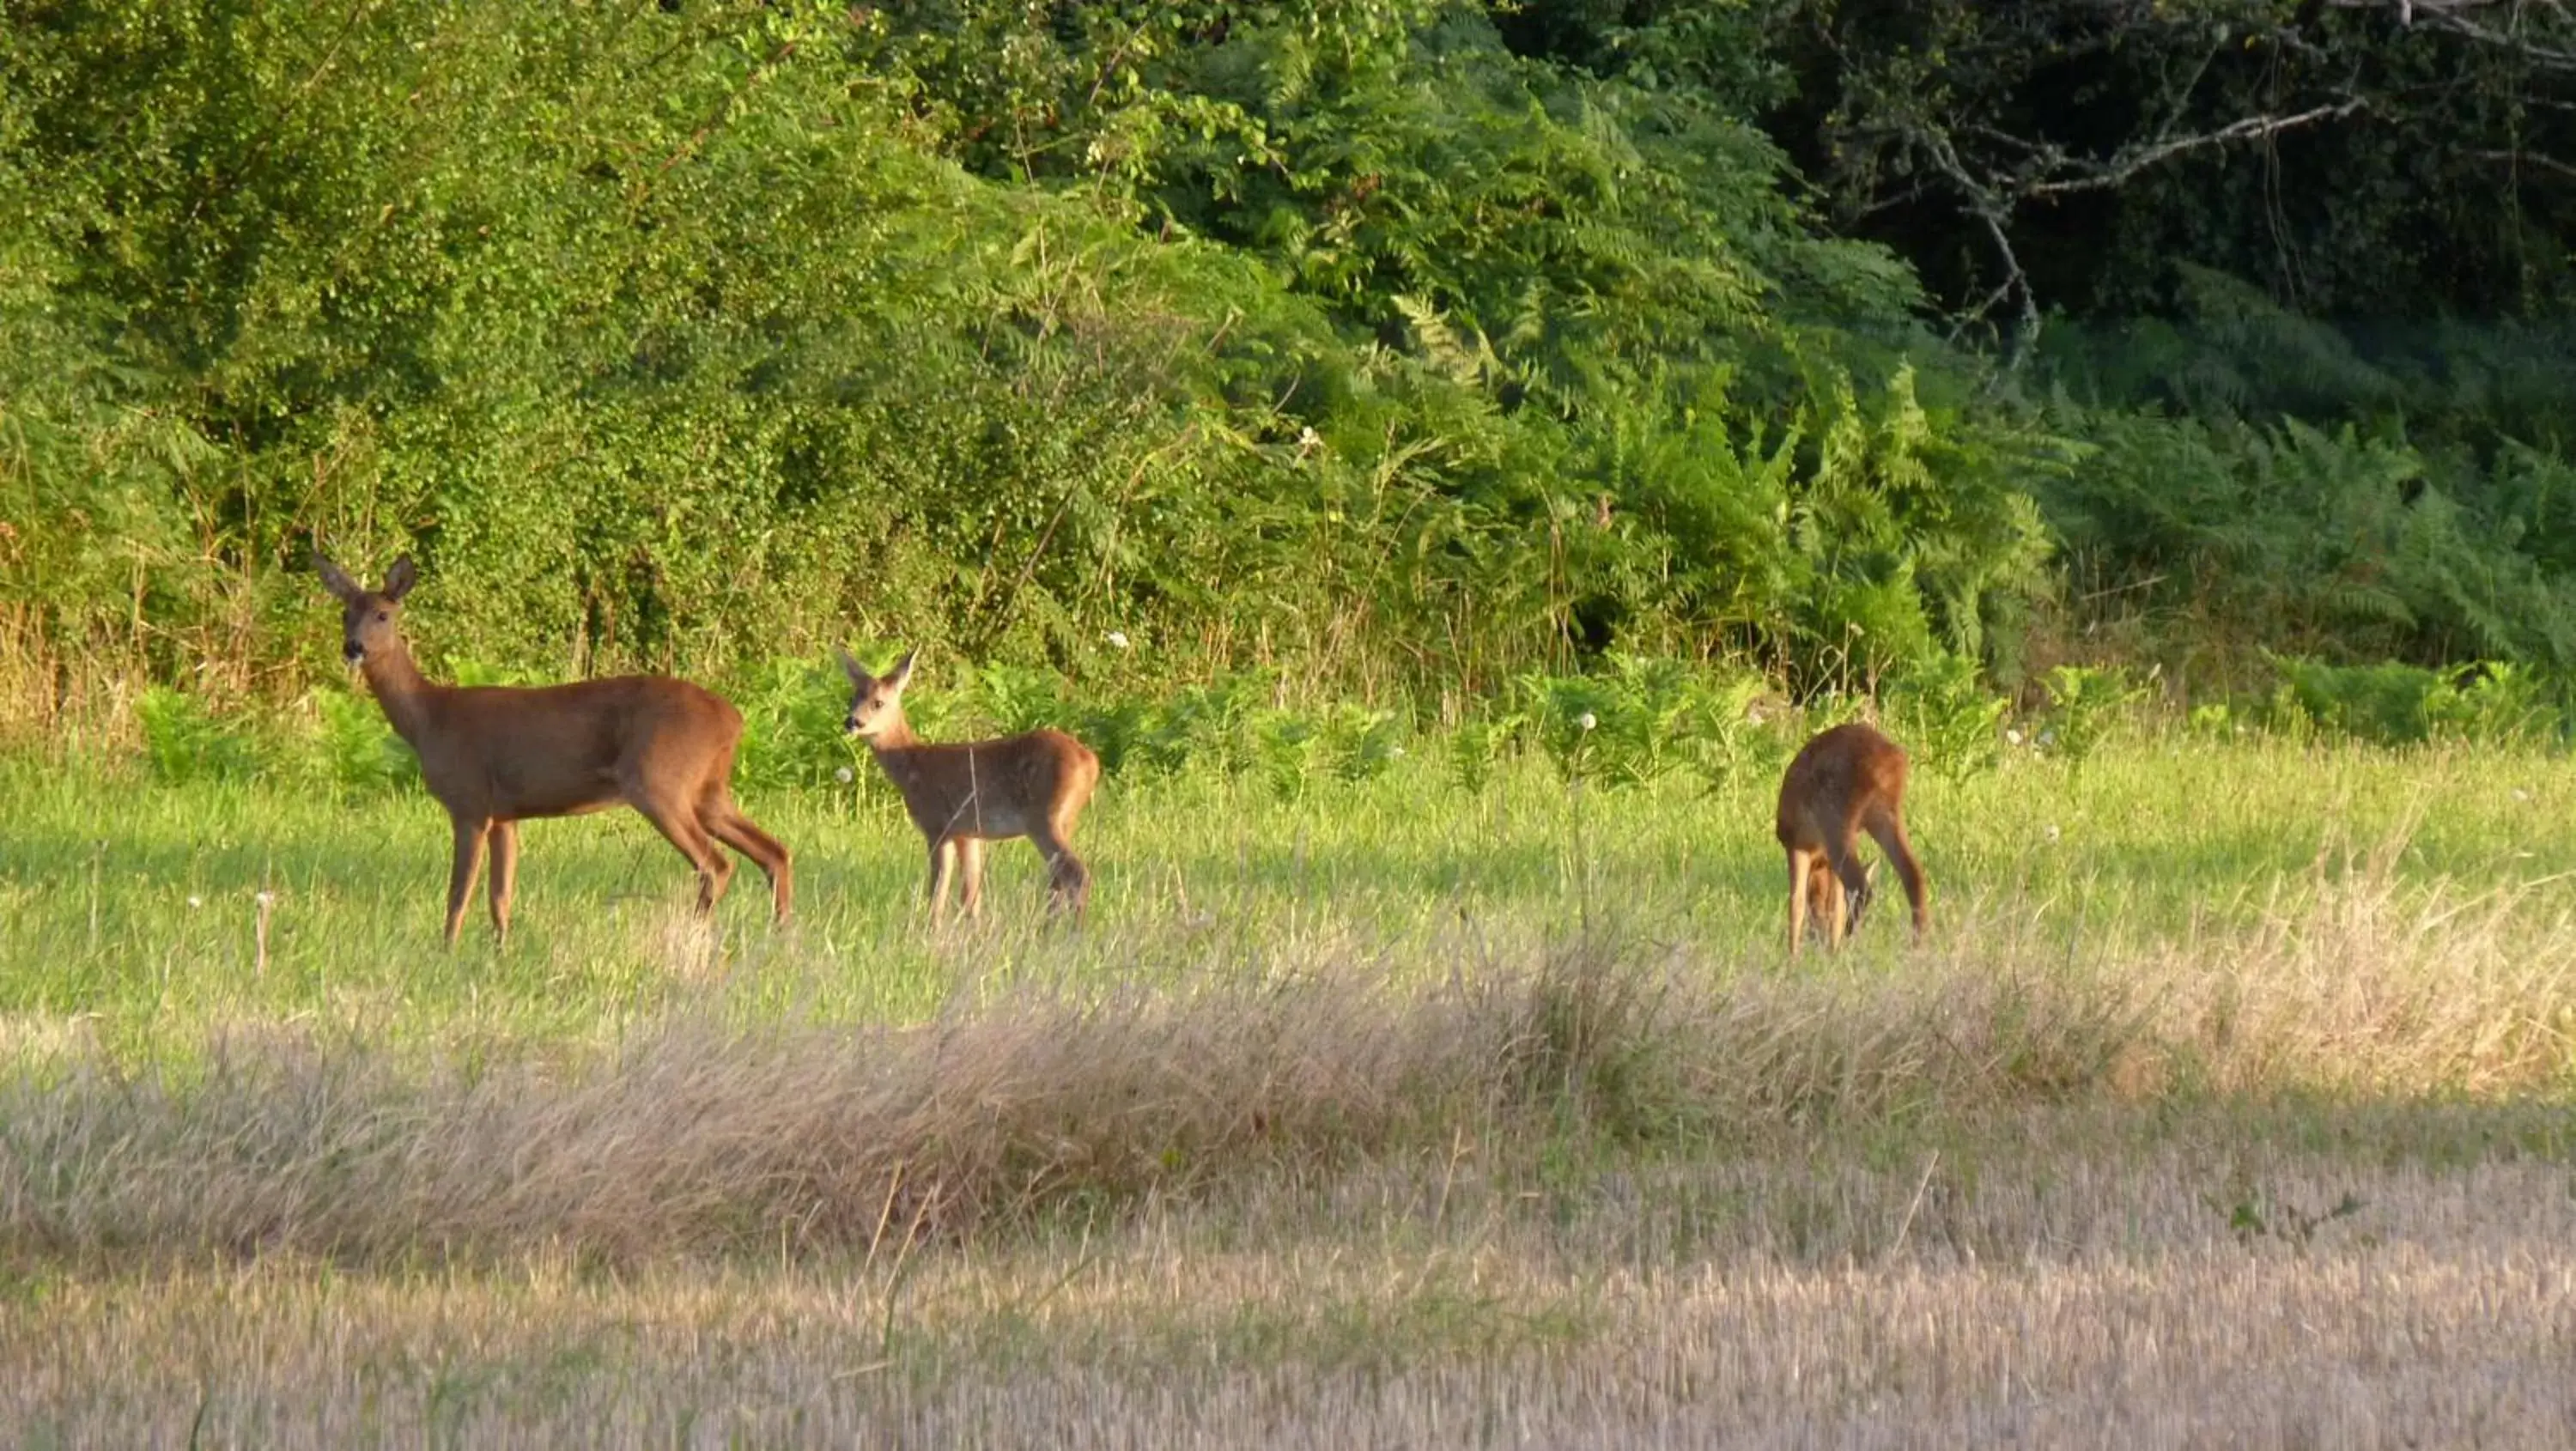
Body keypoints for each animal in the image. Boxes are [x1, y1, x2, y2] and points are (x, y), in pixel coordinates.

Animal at [309, 554, 783, 943]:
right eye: (345, 613)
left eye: (383, 614)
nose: (353, 647)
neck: (430, 718)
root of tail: (733, 719)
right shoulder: (505, 815)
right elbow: (500, 896)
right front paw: (499, 953)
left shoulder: (469, 800)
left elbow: (459, 893)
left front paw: (446, 951)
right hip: (708, 789)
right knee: (774, 851)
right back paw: (779, 935)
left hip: (659, 781)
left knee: (716, 864)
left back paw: (697, 933)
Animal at [835, 644, 1097, 917]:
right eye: (852, 699)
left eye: (878, 702)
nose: (852, 721)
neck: (913, 765)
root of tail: (1091, 762)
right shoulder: (968, 833)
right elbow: (971, 895)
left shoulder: (938, 824)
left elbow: (937, 893)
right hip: (1065, 819)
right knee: (1058, 881)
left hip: (1044, 818)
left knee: (1076, 874)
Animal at [1772, 721, 1937, 953]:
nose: (1817, 941)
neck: (1818, 861)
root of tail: (1892, 758)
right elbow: (1833, 906)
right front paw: (1831, 949)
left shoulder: (1795, 844)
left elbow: (1796, 904)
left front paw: (1794, 956)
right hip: (1883, 814)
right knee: (1913, 875)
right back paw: (1918, 944)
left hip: (1837, 820)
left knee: (1860, 887)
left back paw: (1852, 935)